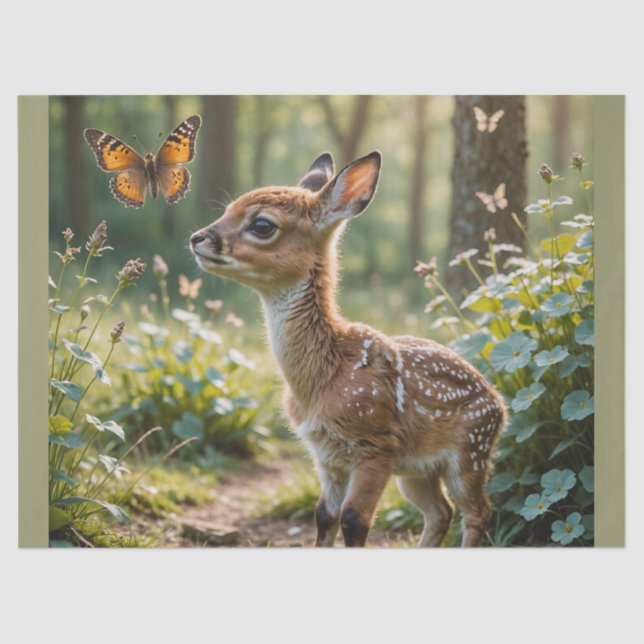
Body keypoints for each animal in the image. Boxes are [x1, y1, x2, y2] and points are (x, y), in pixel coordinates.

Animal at [190, 151, 507, 547]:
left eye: (262, 225)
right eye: (227, 209)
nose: (197, 237)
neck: (324, 376)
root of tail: (501, 406)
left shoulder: (377, 445)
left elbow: (354, 520)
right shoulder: (325, 454)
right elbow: (323, 515)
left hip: (471, 452)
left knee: (478, 511)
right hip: (418, 469)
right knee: (441, 512)